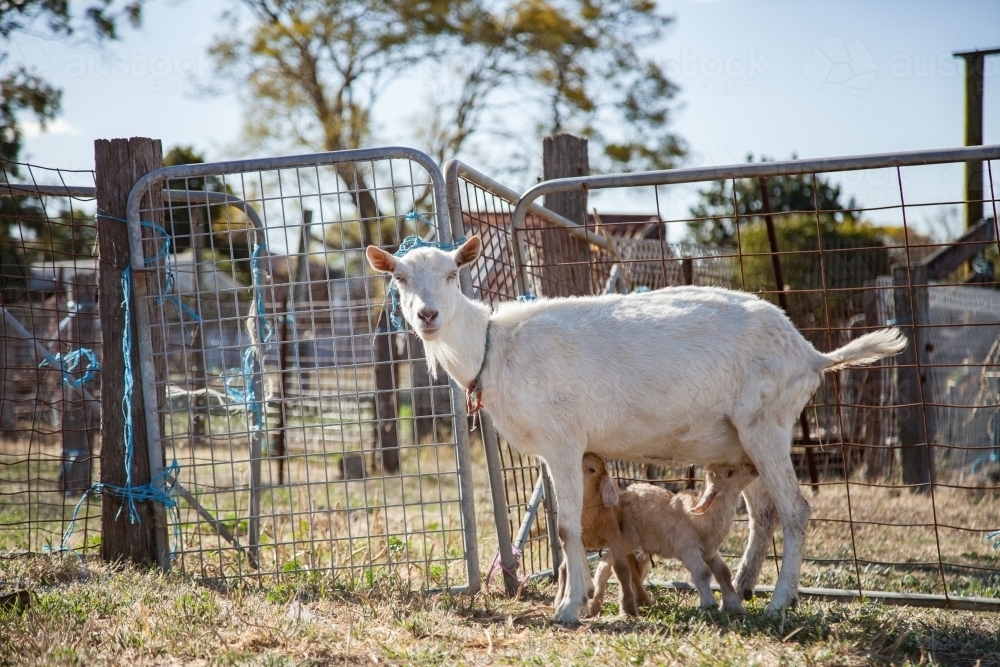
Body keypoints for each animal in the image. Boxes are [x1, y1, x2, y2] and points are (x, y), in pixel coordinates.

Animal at [553, 453, 651, 616]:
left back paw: (644, 599)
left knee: (631, 565)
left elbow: (621, 567)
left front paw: (628, 607)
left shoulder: (614, 535)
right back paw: (560, 598)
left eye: (592, 469)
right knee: (563, 567)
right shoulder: (579, 539)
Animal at [589, 463, 758, 615]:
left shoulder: (710, 551)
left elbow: (724, 572)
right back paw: (597, 606)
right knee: (606, 563)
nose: (754, 469)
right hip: (626, 539)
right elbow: (702, 572)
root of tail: (623, 495)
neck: (702, 518)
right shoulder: (688, 548)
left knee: (633, 566)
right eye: (729, 473)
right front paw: (709, 605)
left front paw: (735, 607)